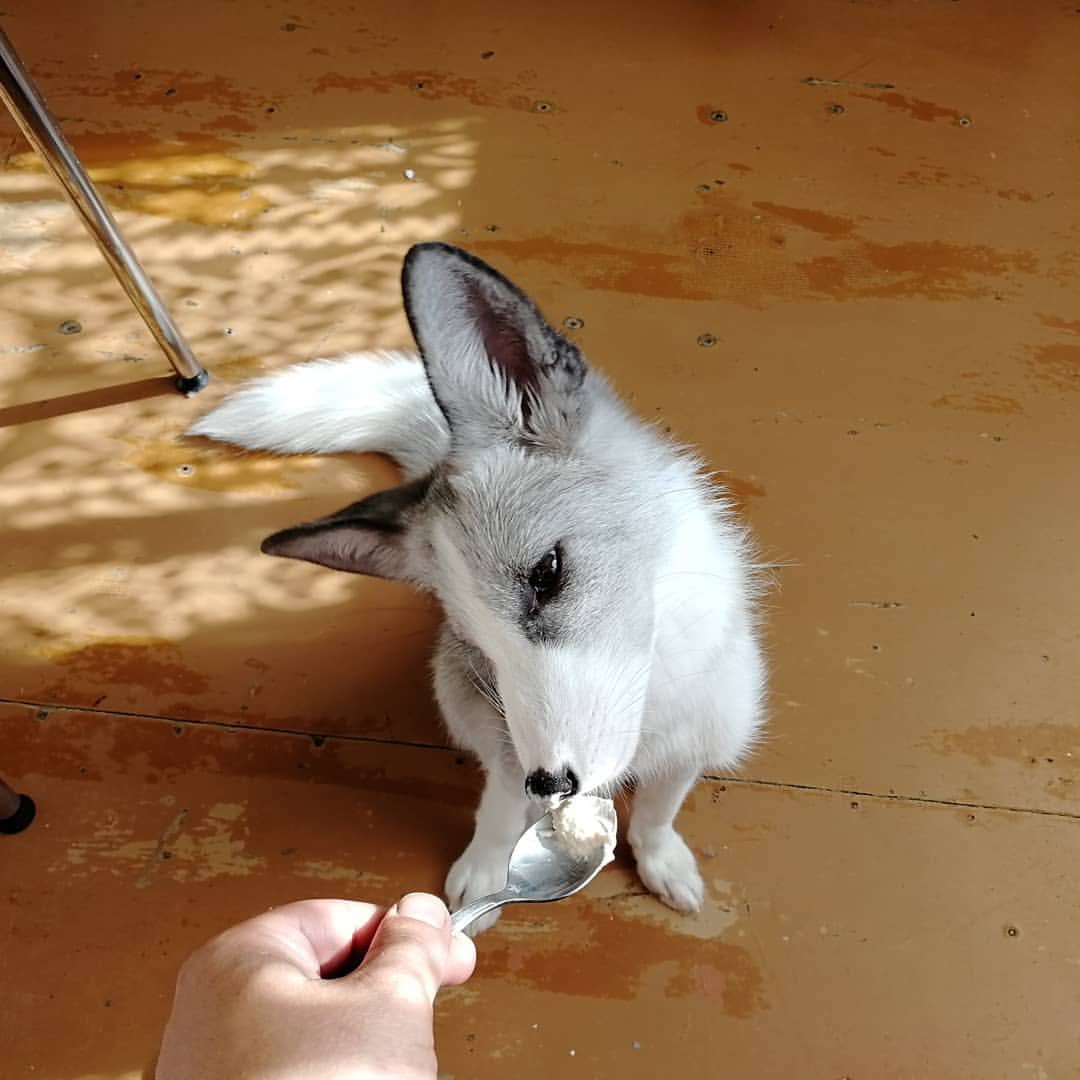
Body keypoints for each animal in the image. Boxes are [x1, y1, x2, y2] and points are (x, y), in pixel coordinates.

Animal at [188, 242, 767, 932]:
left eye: (547, 575)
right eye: (479, 646)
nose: (550, 786)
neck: (658, 688)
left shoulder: (695, 745)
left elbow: (657, 813)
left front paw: (660, 860)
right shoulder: (501, 740)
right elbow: (497, 805)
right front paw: (491, 874)